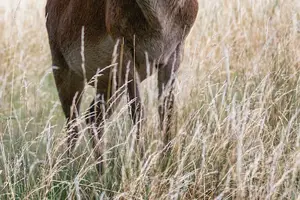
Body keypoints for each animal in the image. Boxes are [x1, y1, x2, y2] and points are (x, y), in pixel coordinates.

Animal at [45, 0, 198, 173]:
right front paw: (143, 168)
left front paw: (166, 166)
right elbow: (138, 112)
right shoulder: (123, 45)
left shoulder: (175, 51)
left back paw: (102, 173)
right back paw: (69, 170)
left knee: (92, 117)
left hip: (110, 83)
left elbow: (167, 111)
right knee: (72, 123)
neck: (160, 20)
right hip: (62, 67)